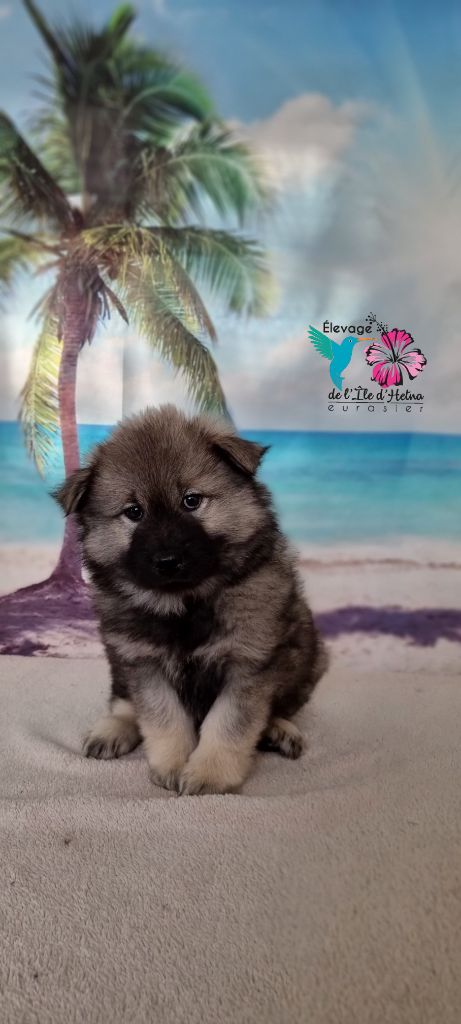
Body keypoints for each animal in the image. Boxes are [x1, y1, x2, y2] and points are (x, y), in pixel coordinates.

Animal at [54, 405, 328, 794]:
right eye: (134, 512)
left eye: (192, 501)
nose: (167, 560)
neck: (184, 602)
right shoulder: (143, 661)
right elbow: (162, 717)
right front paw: (173, 764)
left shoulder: (247, 662)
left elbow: (230, 723)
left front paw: (210, 774)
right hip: (118, 660)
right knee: (123, 701)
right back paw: (112, 729)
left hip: (309, 654)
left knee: (281, 706)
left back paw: (278, 729)